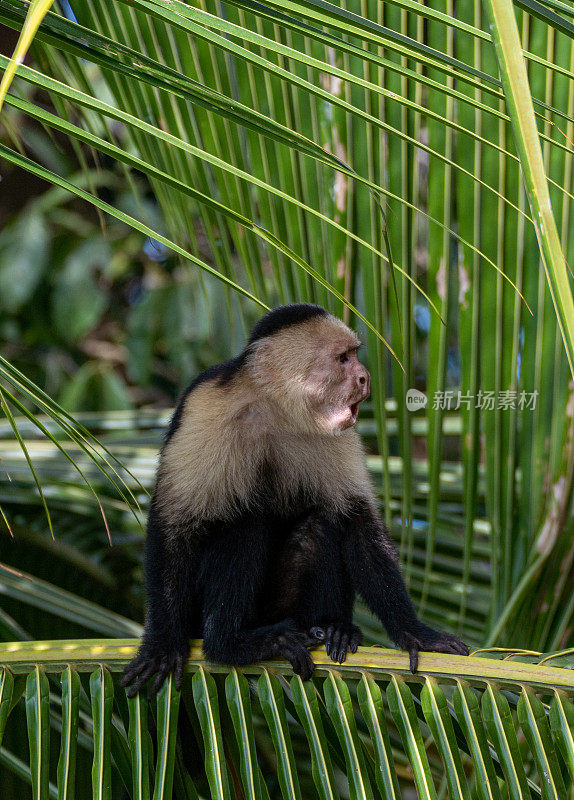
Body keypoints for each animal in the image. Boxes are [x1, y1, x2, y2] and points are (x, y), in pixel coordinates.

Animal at [121, 304, 468, 696]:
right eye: (343, 359)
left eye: (355, 355)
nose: (364, 378)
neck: (273, 408)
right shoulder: (205, 407)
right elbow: (175, 521)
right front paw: (163, 645)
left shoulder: (334, 428)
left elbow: (356, 520)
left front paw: (416, 633)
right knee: (245, 522)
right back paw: (229, 643)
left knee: (322, 522)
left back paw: (333, 628)